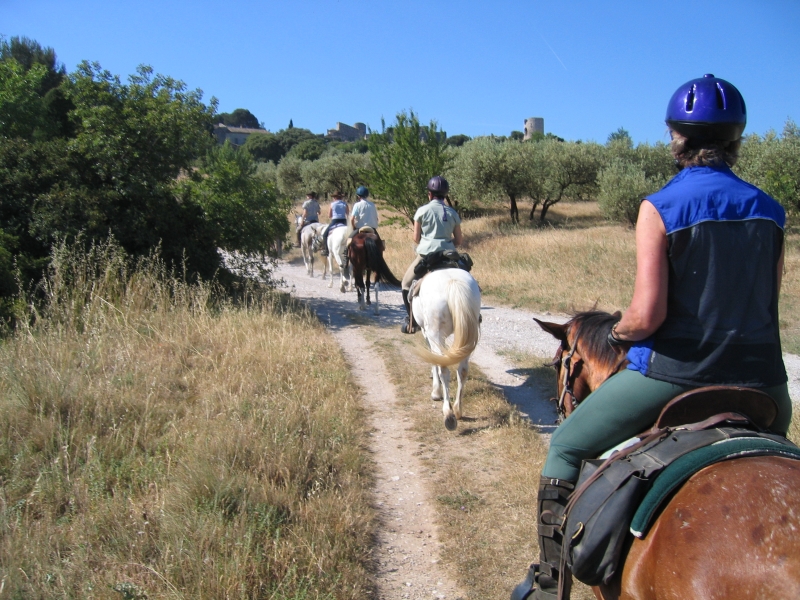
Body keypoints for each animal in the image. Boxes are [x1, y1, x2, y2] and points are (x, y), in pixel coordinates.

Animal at [412, 268, 482, 432]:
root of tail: (453, 283)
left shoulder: (427, 334)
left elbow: (434, 361)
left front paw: (435, 392)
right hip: (468, 337)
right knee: (462, 370)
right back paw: (458, 410)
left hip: (435, 334)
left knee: (444, 368)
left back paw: (448, 414)